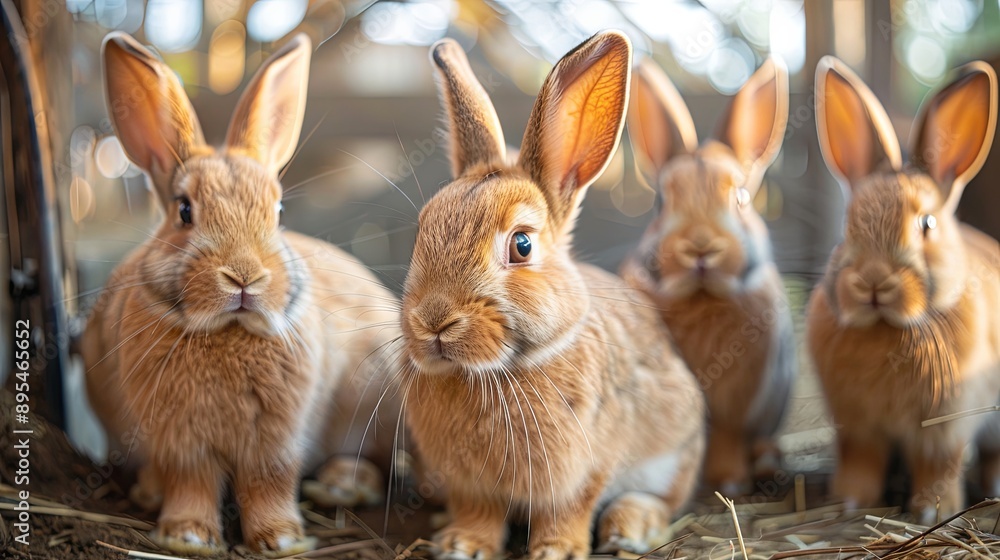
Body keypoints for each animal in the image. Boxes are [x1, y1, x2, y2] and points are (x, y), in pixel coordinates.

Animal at [81, 32, 401, 557]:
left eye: (279, 211)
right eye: (183, 211)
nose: (245, 277)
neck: (228, 329)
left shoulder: (277, 437)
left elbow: (269, 482)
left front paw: (283, 539)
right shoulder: (178, 440)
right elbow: (190, 482)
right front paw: (188, 536)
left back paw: (341, 485)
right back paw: (149, 491)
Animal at [398, 31, 706, 560]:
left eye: (521, 245)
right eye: (421, 231)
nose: (433, 321)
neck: (494, 372)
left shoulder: (586, 470)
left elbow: (569, 509)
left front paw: (555, 550)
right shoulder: (467, 485)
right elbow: (477, 513)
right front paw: (462, 544)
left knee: (664, 499)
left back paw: (631, 525)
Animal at [618, 57, 796, 495]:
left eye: (742, 198)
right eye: (660, 202)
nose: (700, 247)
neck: (701, 296)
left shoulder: (738, 405)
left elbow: (726, 440)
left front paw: (729, 484)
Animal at [809, 55, 1000, 522]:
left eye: (926, 224)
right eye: (848, 223)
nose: (874, 282)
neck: (888, 329)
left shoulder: (945, 425)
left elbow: (939, 465)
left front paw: (931, 511)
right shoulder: (857, 426)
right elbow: (861, 461)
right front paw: (849, 501)